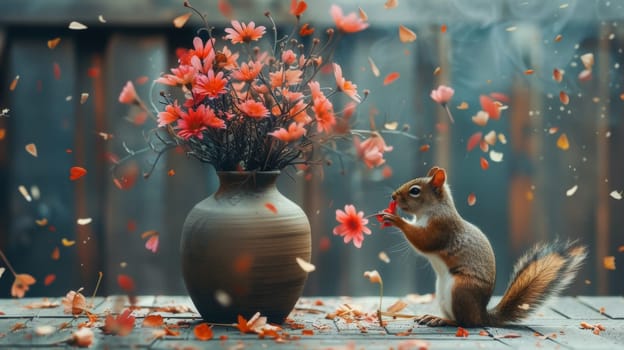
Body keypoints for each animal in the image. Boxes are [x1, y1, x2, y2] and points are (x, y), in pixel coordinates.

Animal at [382, 165, 588, 326]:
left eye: (415, 191)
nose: (392, 196)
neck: (432, 209)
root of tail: (482, 314)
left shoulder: (441, 228)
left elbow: (423, 240)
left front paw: (396, 219)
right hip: (442, 292)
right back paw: (433, 317)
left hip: (460, 290)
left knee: (465, 322)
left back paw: (444, 320)